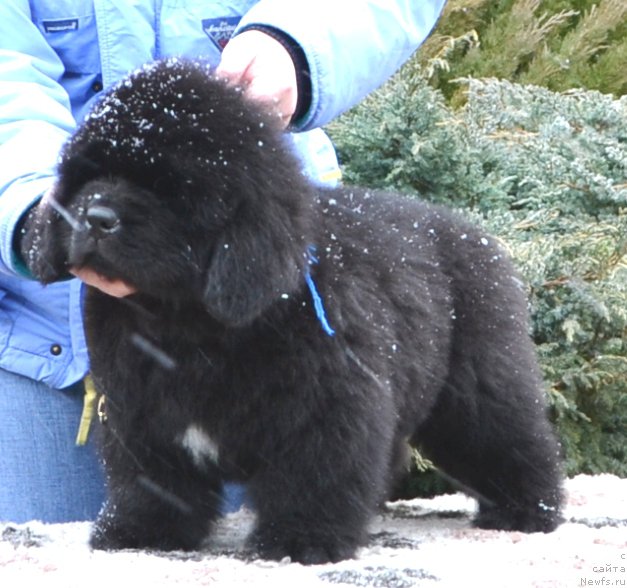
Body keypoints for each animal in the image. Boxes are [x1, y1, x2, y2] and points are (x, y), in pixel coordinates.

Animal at [23, 58, 564, 560]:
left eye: (172, 186)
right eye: (88, 175)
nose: (96, 217)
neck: (184, 322)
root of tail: (474, 235)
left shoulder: (325, 410)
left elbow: (313, 477)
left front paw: (300, 541)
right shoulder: (140, 411)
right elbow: (151, 482)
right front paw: (138, 533)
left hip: (475, 390)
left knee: (514, 442)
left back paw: (527, 512)